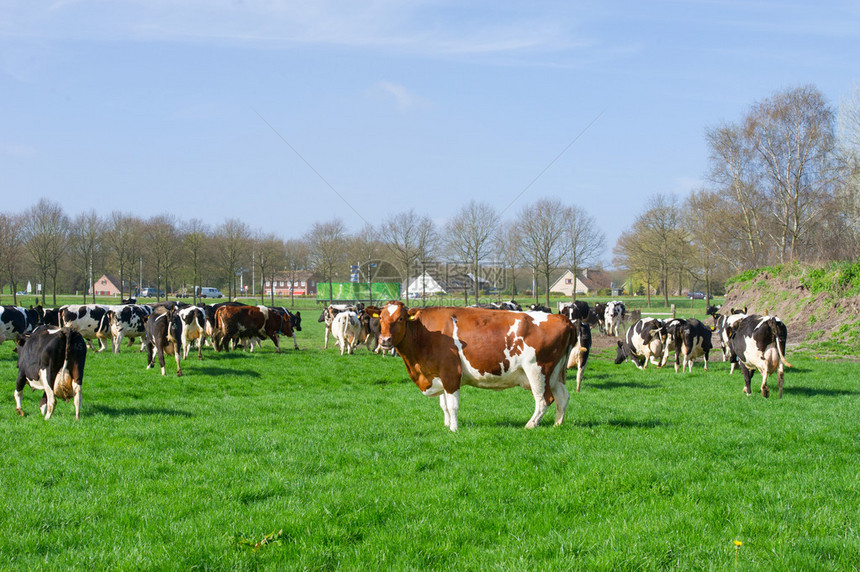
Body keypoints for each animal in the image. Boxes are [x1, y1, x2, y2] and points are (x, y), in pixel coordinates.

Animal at [378, 302, 576, 432]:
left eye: (401, 318)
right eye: (380, 319)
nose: (384, 340)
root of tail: (560, 317)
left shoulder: (451, 374)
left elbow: (452, 405)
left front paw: (453, 429)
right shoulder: (439, 374)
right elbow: (443, 405)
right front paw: (446, 424)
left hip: (537, 370)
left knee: (544, 399)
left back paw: (530, 425)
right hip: (555, 373)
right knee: (563, 397)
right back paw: (557, 424)